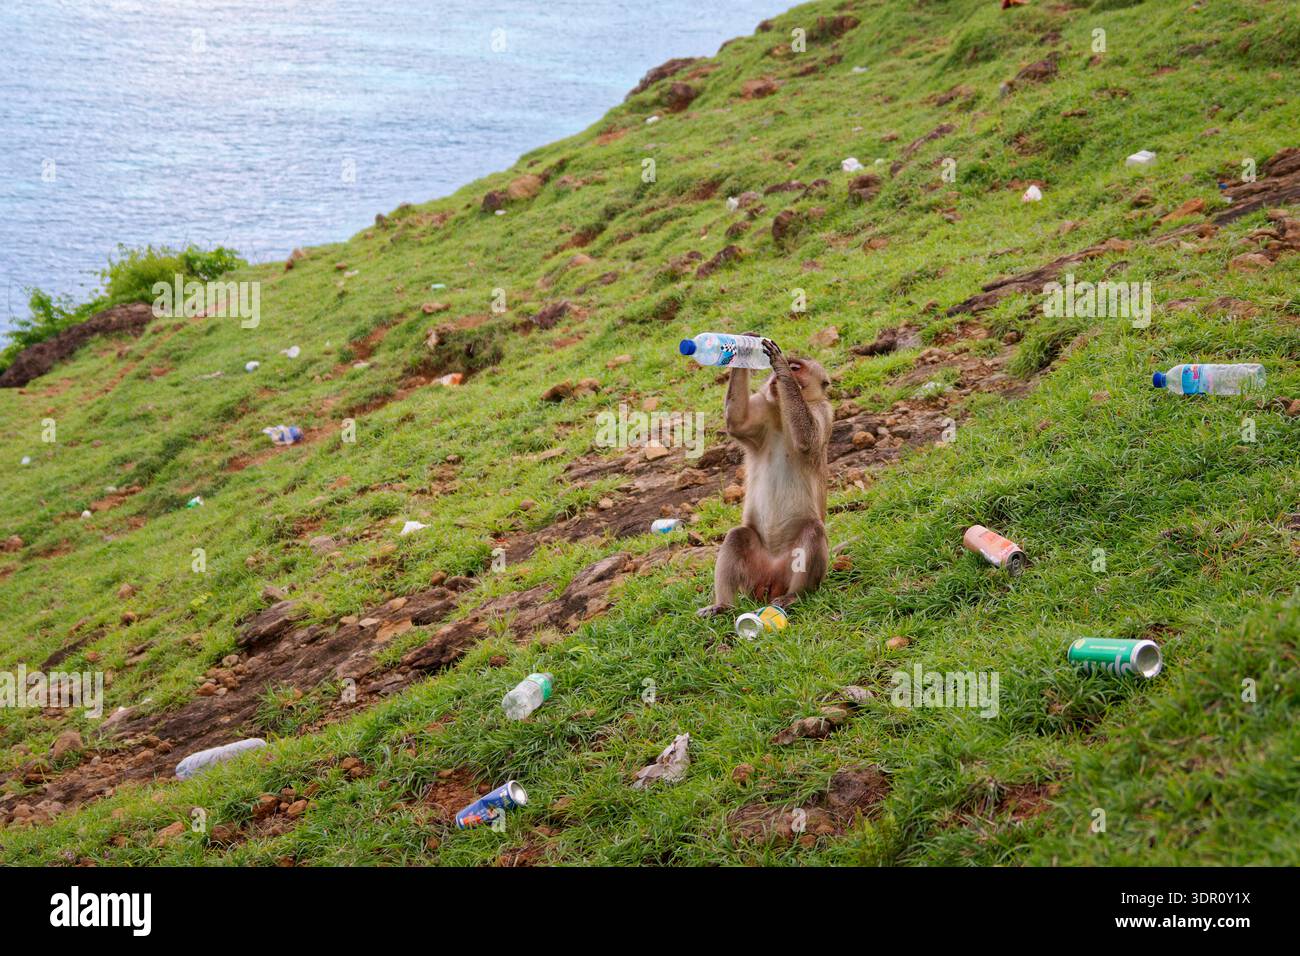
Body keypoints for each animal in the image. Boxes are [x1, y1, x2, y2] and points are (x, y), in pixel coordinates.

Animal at [698, 337, 833, 617]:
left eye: (797, 368)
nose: (773, 377)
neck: (782, 412)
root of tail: (771, 581)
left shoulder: (824, 411)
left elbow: (807, 439)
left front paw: (780, 366)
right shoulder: (762, 406)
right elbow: (737, 422)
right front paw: (743, 345)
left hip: (791, 566)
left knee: (813, 531)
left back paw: (795, 596)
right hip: (753, 574)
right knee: (738, 535)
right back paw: (723, 605)